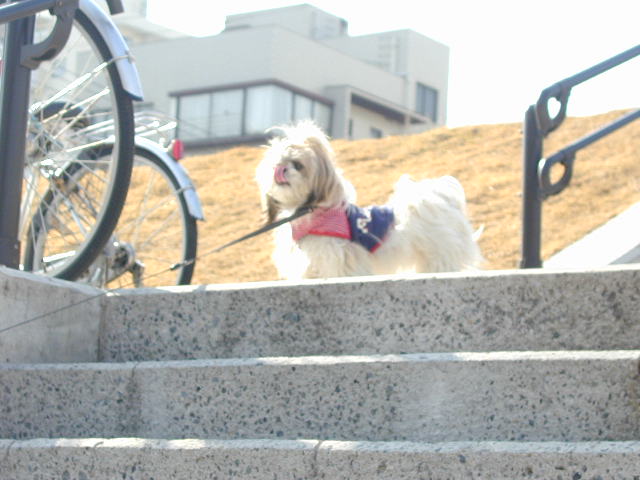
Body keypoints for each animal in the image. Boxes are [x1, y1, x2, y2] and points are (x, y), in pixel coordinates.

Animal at [255, 121, 482, 280]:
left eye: (297, 164)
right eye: (275, 163)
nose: (281, 169)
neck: (311, 211)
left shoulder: (339, 258)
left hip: (439, 253)